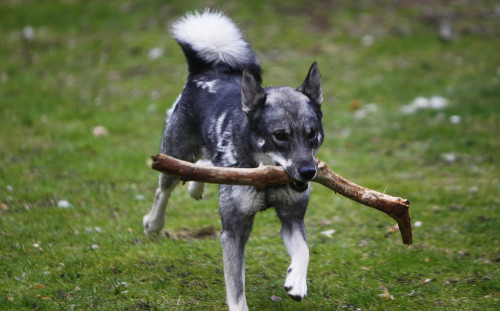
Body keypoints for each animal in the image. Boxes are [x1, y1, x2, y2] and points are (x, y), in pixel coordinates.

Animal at [142, 10, 324, 311]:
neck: (264, 175)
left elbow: (304, 251)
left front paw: (296, 282)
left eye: (312, 134)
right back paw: (154, 223)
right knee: (163, 190)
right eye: (280, 136)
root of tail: (204, 72)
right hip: (175, 155)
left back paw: (197, 186)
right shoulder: (234, 232)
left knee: (202, 167)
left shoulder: (292, 218)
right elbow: (236, 289)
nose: (309, 172)